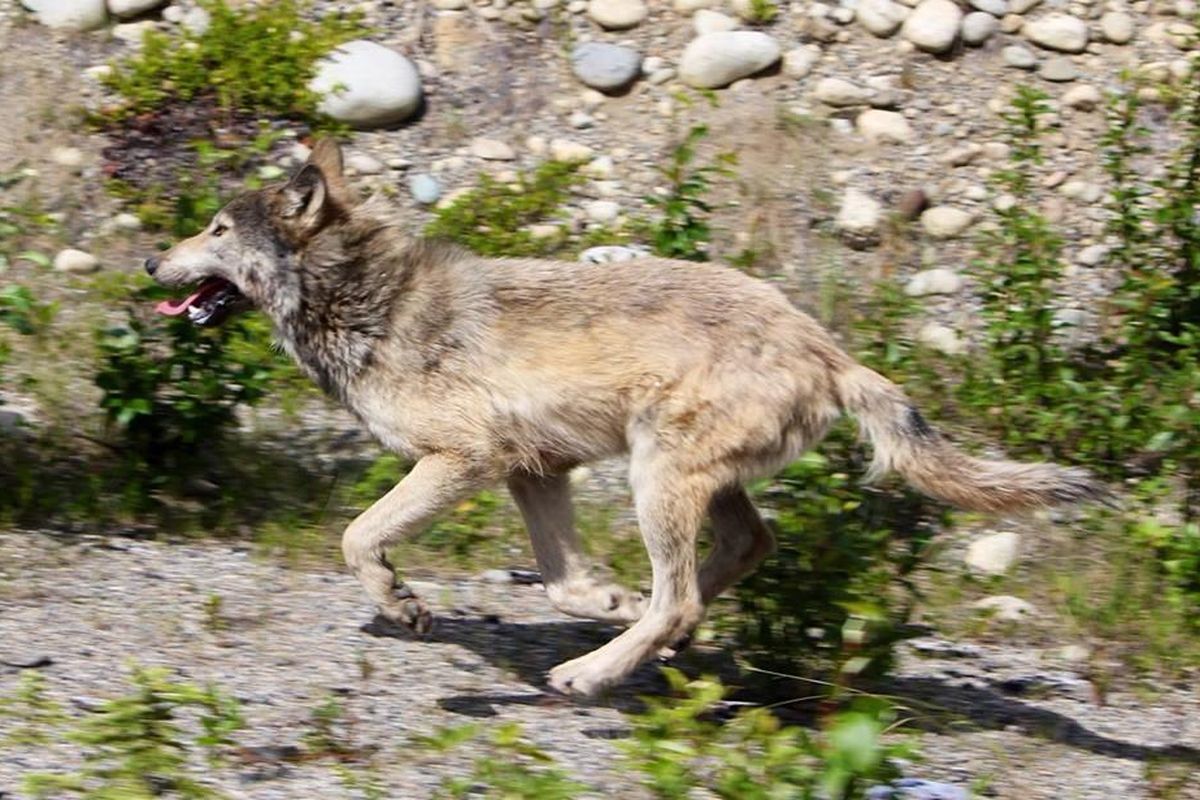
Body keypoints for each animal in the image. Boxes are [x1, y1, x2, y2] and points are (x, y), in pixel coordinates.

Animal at [142, 140, 1104, 695]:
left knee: (681, 598)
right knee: (732, 560)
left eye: (217, 229)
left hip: (657, 477)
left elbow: (357, 539)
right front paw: (603, 598)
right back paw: (642, 637)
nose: (152, 260)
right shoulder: (532, 472)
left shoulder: (465, 460)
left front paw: (407, 607)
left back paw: (591, 673)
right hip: (684, 483)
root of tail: (830, 349)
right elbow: (564, 580)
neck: (362, 297)